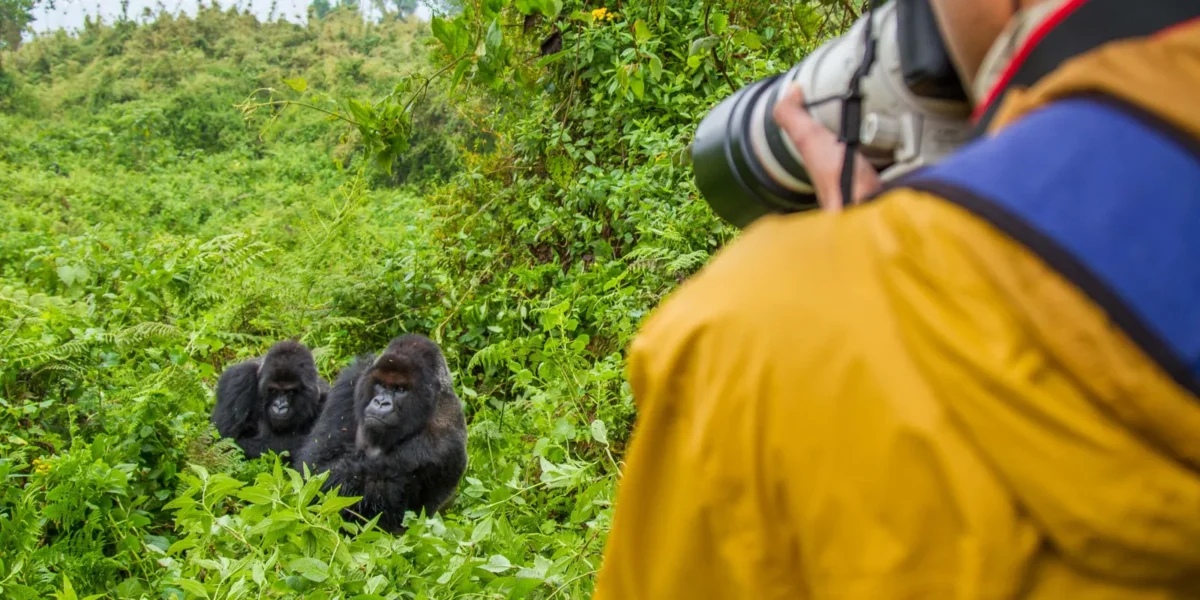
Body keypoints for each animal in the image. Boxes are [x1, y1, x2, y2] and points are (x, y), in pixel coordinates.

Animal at [295, 333, 468, 535]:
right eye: (380, 384)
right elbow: (317, 466)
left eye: (400, 389)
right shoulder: (352, 380)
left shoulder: (443, 440)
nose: (380, 402)